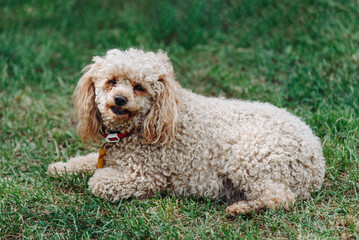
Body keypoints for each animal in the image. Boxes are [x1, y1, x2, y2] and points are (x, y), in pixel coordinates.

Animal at [47, 47, 326, 215]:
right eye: (111, 81)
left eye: (139, 87)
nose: (119, 99)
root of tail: (316, 157)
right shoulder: (109, 157)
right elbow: (86, 162)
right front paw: (61, 167)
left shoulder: (145, 176)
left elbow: (97, 181)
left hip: (251, 158)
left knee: (279, 199)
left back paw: (242, 208)